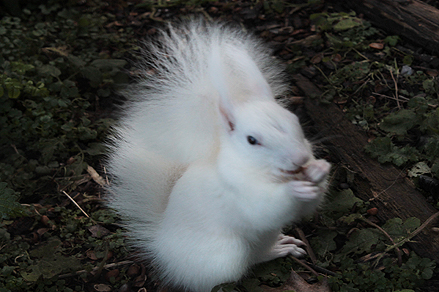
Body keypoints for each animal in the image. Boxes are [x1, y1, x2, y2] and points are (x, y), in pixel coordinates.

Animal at [106, 20, 332, 292]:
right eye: (252, 140)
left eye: (294, 119)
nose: (300, 159)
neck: (271, 175)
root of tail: (162, 246)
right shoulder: (239, 192)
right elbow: (266, 208)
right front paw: (295, 190)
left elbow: (307, 207)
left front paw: (318, 171)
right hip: (226, 256)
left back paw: (281, 245)